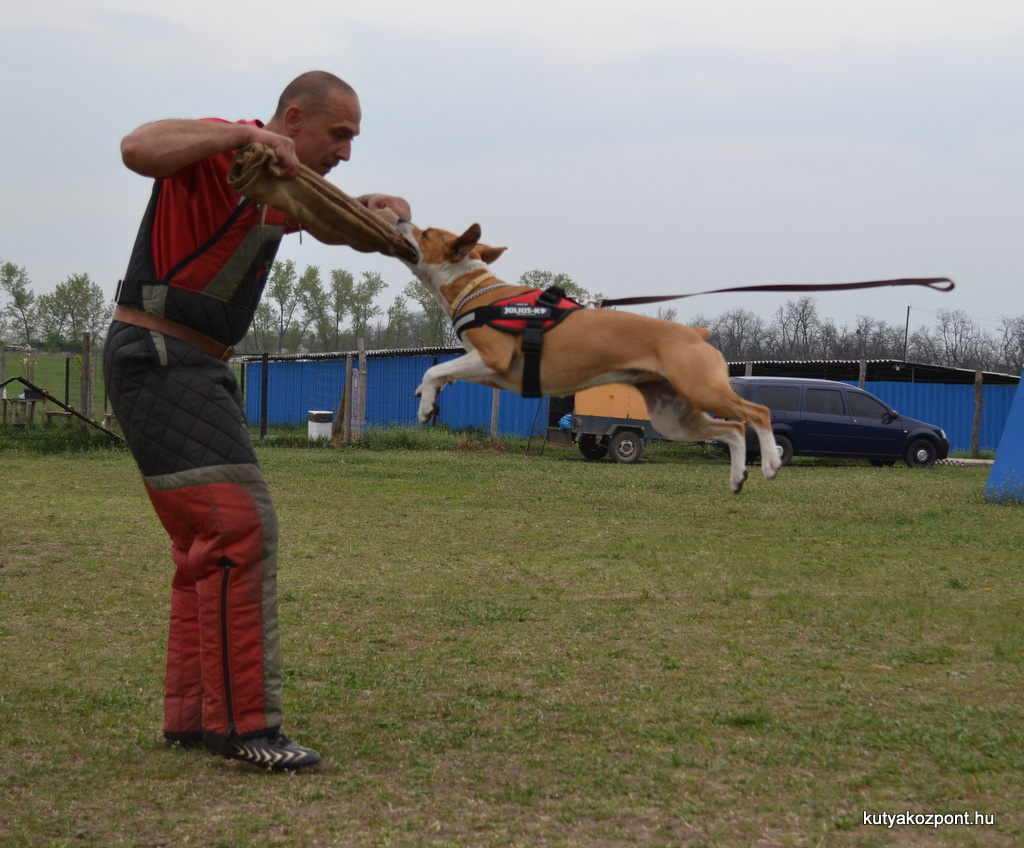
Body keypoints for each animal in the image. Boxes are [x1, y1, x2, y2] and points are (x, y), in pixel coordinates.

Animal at [395, 222, 778, 493]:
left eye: (426, 232)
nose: (400, 218)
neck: (476, 289)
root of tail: (695, 334)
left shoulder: (494, 357)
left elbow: (434, 371)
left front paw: (424, 408)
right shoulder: (483, 366)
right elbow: (443, 371)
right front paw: (427, 398)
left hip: (701, 391)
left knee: (757, 412)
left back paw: (772, 462)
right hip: (675, 417)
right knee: (733, 430)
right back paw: (737, 478)